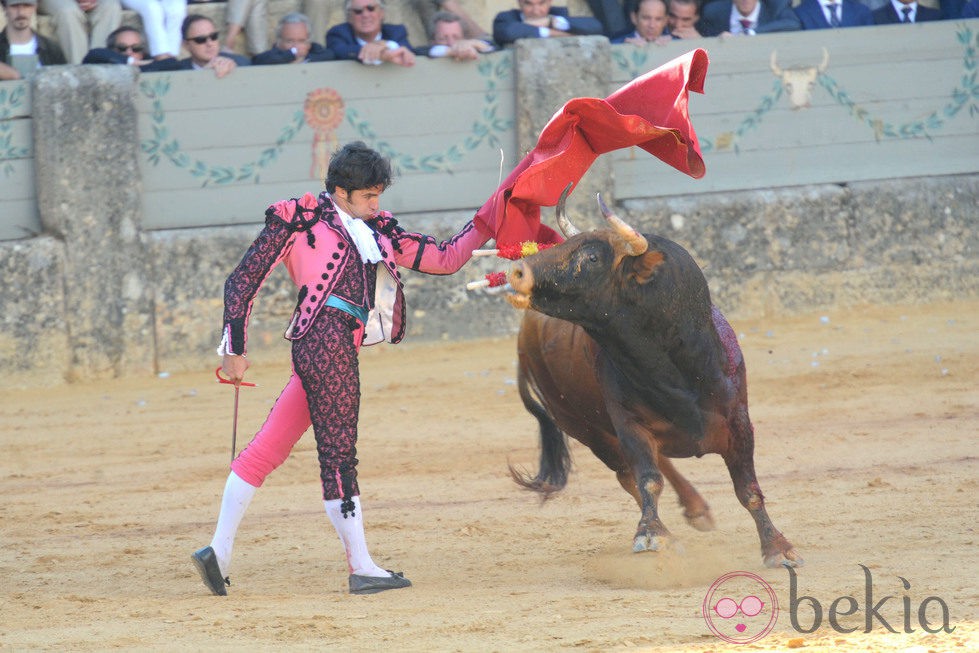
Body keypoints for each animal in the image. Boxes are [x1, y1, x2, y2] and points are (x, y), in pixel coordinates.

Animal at [506, 187, 804, 564]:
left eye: (592, 257)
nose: (516, 271)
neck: (673, 373)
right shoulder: (628, 424)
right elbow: (647, 479)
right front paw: (651, 534)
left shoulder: (739, 423)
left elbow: (748, 489)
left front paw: (778, 547)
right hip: (587, 431)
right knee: (631, 475)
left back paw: (697, 509)